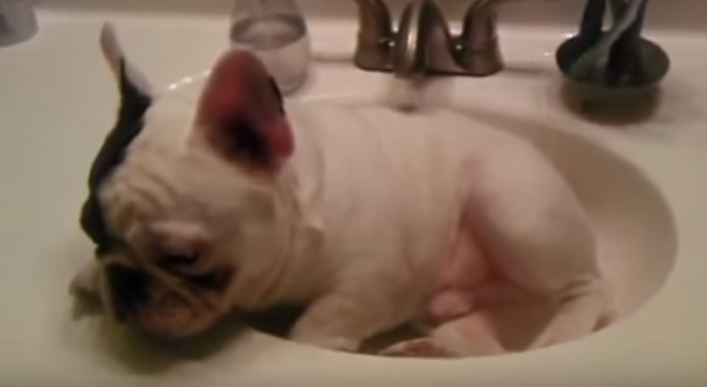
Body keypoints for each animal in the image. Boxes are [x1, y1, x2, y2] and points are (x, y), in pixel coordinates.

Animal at [72, 24, 612, 358]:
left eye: (183, 257)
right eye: (91, 233)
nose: (124, 282)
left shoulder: (372, 279)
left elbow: (319, 320)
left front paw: (319, 337)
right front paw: (92, 275)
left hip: (514, 210)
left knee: (585, 286)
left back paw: (559, 332)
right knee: (478, 338)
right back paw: (428, 349)